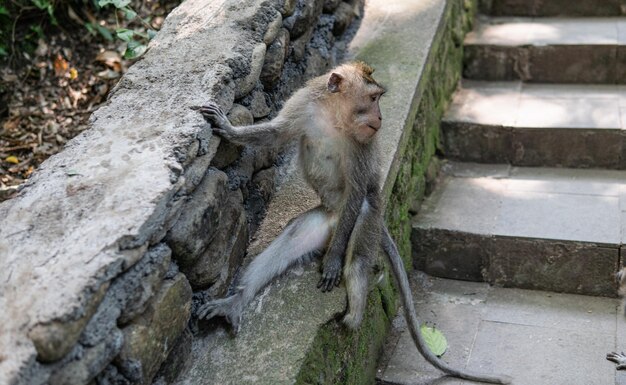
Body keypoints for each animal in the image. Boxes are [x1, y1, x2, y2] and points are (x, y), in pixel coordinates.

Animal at [197, 61, 510, 382]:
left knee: (358, 253)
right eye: (373, 99)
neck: (333, 114)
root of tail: (336, 219)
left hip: (367, 220)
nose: (381, 117)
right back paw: (234, 303)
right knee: (285, 245)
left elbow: (356, 191)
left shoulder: (362, 143)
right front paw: (228, 129)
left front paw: (334, 261)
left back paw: (355, 313)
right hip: (323, 222)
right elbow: (274, 134)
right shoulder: (303, 104)